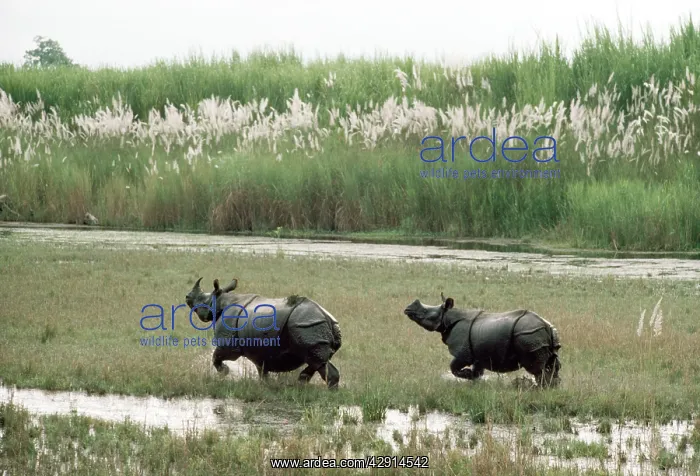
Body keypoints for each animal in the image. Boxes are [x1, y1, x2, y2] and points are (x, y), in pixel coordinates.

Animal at [185, 277, 342, 389]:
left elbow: (216, 356)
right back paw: (301, 384)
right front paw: (264, 385)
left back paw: (329, 393)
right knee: (316, 360)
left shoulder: (230, 344)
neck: (220, 301)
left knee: (317, 360)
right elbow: (262, 369)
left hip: (307, 326)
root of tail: (328, 319)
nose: (187, 297)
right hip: (314, 327)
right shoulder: (259, 349)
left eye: (201, 300)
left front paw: (224, 372)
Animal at [403, 293, 561, 387]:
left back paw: (539, 389)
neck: (447, 317)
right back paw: (553, 387)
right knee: (552, 363)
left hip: (528, 335)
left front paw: (466, 374)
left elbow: (453, 367)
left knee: (537, 369)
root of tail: (546, 326)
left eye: (425, 312)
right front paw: (473, 379)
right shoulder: (477, 352)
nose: (407, 309)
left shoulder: (463, 352)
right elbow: (477, 369)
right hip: (541, 335)